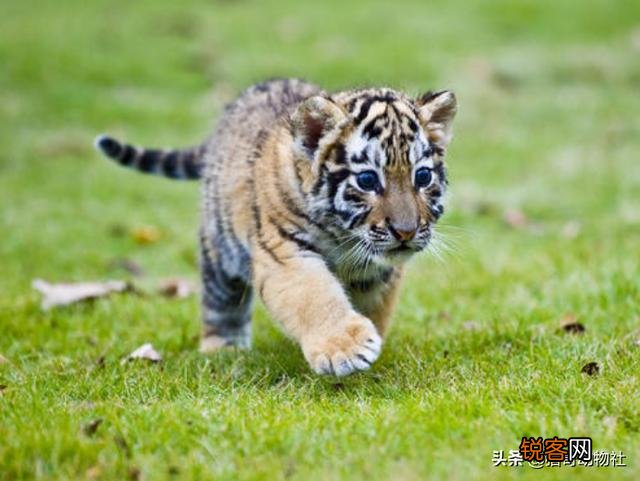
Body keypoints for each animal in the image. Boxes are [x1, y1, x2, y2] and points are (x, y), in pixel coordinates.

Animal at [95, 78, 457, 376]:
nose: (406, 232)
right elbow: (314, 295)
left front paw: (369, 342)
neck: (345, 237)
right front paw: (345, 347)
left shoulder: (377, 271)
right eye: (367, 180)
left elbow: (375, 307)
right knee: (219, 303)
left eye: (422, 177)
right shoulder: (285, 253)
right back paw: (223, 350)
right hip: (219, 249)